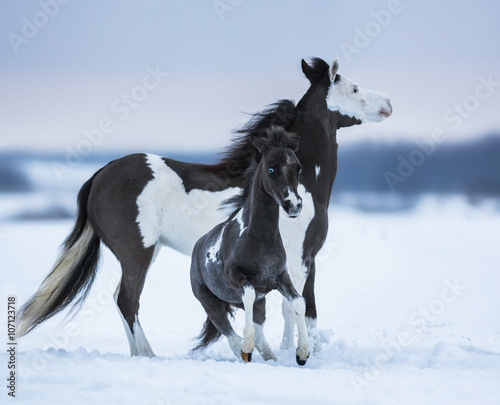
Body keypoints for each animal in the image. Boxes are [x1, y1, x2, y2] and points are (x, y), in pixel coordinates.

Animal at [191, 126, 308, 362]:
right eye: (271, 169)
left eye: (298, 168)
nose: (293, 205)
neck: (260, 239)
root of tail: (197, 247)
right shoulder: (236, 278)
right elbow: (249, 294)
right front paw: (247, 347)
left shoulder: (280, 278)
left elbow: (298, 302)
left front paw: (303, 354)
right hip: (210, 302)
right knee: (228, 333)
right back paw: (244, 351)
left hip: (256, 305)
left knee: (259, 331)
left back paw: (269, 357)